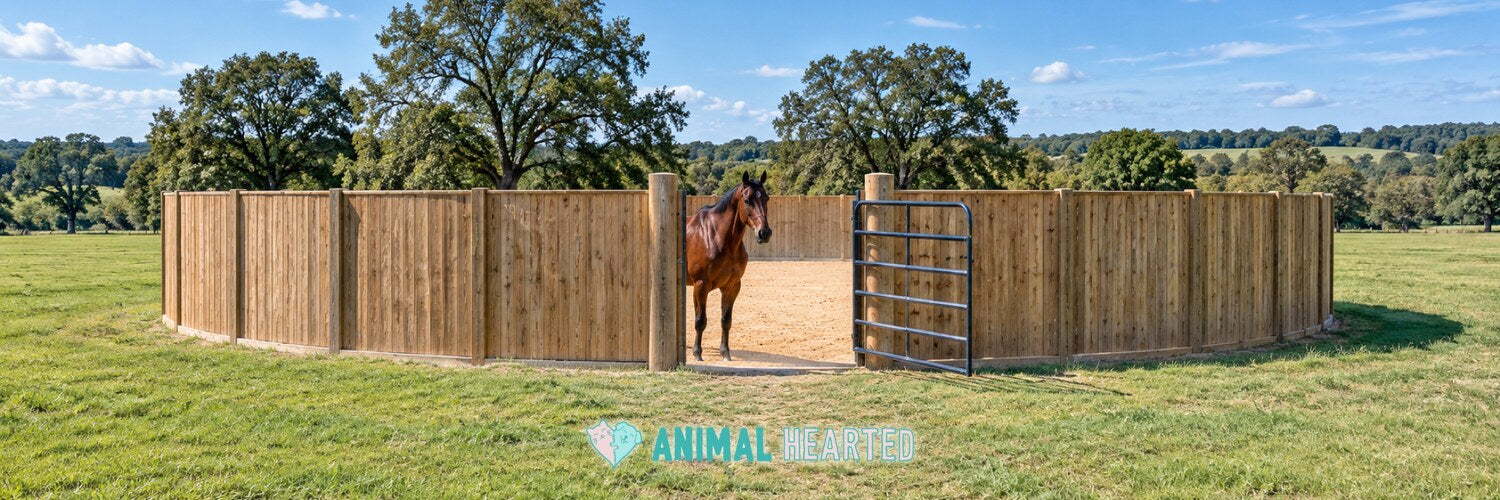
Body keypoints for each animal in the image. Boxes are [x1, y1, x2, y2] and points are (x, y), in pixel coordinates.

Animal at [687, 171, 773, 361]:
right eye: (747, 200)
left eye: (766, 198)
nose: (764, 233)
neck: (715, 236)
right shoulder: (700, 286)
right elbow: (700, 320)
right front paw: (697, 353)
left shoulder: (732, 286)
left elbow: (726, 320)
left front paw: (725, 352)